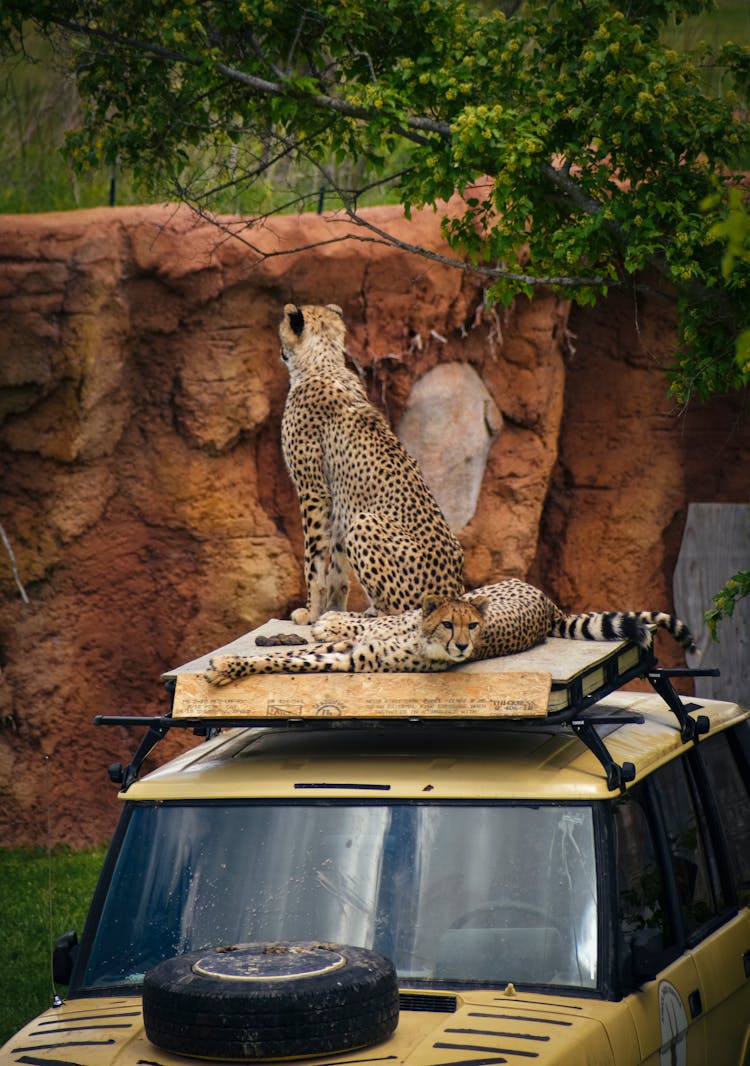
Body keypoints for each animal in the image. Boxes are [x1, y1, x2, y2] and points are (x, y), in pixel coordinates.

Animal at [276, 302, 462, 622]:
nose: (280, 351)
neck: (323, 363)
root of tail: (454, 595)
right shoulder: (339, 500)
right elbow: (336, 565)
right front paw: (332, 609)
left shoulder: (313, 491)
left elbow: (313, 559)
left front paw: (311, 612)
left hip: (366, 521)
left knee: (398, 612)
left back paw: (367, 614)